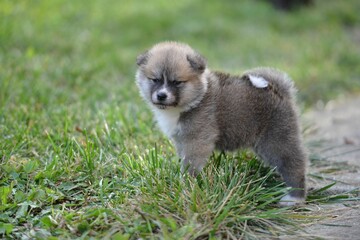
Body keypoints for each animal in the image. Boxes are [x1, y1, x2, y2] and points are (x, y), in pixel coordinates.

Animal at [135, 41, 306, 206]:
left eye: (177, 82)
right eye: (155, 80)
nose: (161, 95)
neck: (195, 98)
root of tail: (279, 90)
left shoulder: (196, 141)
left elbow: (190, 165)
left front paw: (186, 185)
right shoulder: (181, 140)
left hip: (276, 141)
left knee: (294, 165)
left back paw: (294, 197)